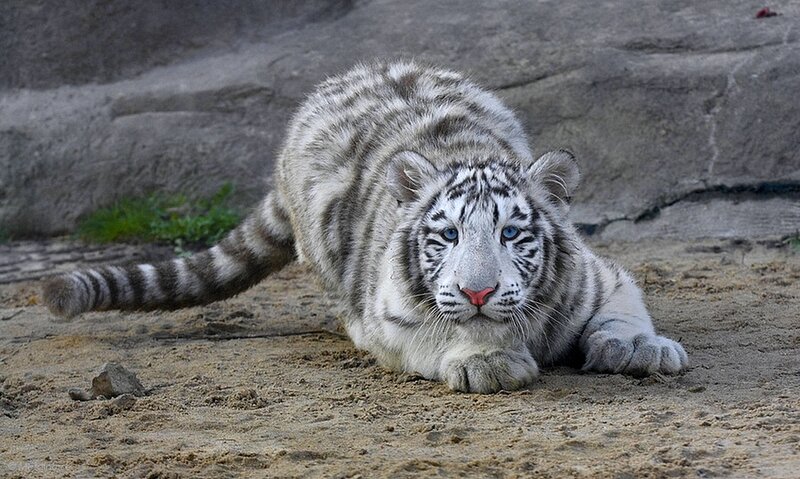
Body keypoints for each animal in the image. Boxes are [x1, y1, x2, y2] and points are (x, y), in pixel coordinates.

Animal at [42, 60, 688, 393]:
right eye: (448, 235)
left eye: (510, 234)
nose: (478, 291)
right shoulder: (392, 320)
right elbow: (441, 333)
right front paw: (489, 360)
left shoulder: (605, 276)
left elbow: (625, 309)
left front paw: (641, 348)